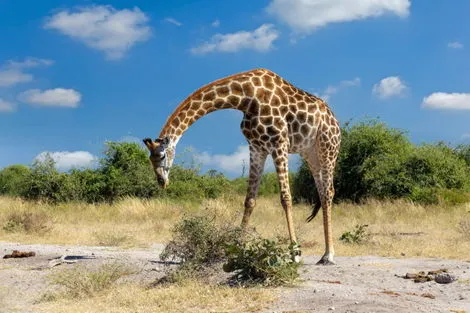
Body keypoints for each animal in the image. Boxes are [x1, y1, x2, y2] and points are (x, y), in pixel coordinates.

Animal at [143, 67, 342, 264]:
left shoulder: (279, 143)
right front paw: (235, 249)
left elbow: (286, 198)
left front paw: (295, 254)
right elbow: (249, 200)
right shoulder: (256, 147)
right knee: (322, 192)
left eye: (161, 156)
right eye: (150, 159)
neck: (246, 98)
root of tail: (335, 121)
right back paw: (324, 254)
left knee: (328, 192)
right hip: (310, 154)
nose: (161, 182)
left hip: (328, 148)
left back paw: (329, 255)